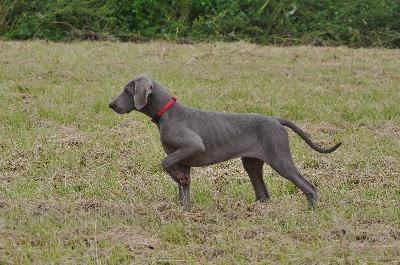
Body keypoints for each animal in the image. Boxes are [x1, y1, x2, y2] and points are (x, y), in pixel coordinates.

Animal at [109, 73, 340, 208]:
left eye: (127, 91)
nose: (111, 105)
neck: (166, 113)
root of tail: (276, 120)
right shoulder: (182, 161)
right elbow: (183, 189)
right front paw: (184, 210)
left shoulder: (193, 146)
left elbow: (165, 162)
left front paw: (177, 180)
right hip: (252, 163)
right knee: (263, 193)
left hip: (280, 158)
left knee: (309, 187)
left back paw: (312, 212)